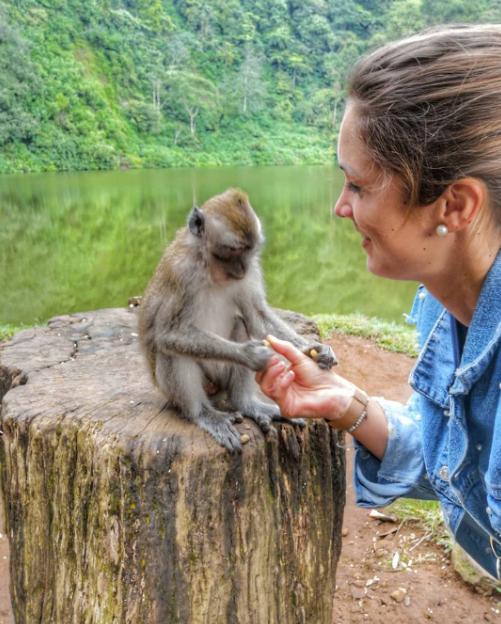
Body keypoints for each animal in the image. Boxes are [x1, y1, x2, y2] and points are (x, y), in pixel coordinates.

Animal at [137, 188, 336, 450]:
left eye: (250, 250)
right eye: (232, 249)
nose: (242, 268)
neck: (210, 268)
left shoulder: (252, 271)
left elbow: (256, 316)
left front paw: (313, 349)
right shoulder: (181, 273)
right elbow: (168, 334)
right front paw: (249, 354)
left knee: (240, 326)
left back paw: (245, 403)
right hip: (179, 388)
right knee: (170, 351)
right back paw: (203, 413)